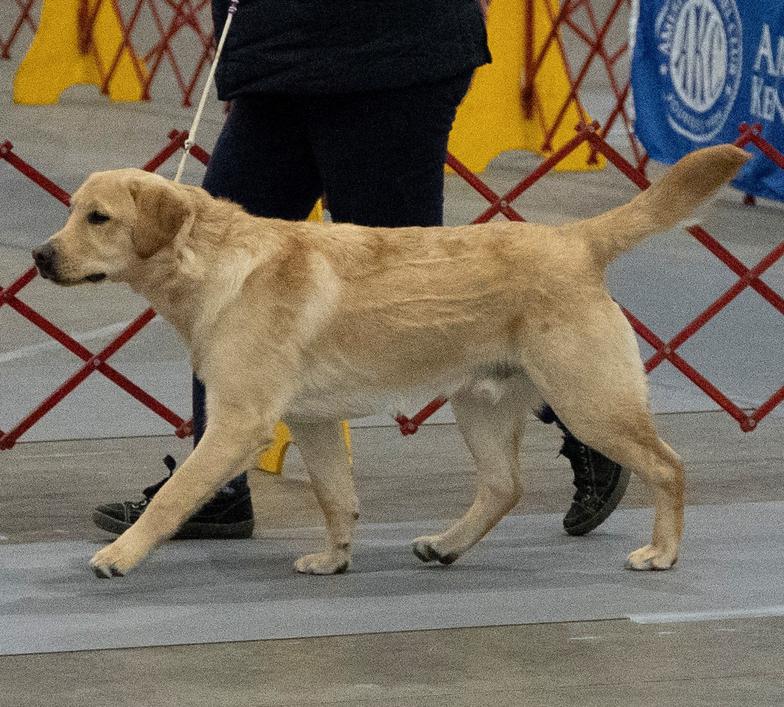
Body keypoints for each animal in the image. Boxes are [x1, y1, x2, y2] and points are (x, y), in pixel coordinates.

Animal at [33, 145, 752, 580]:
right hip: (481, 405)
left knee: (668, 464)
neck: (212, 262)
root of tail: (574, 239)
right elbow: (336, 497)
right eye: (68, 212)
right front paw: (334, 559)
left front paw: (120, 554)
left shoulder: (239, 422)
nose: (40, 256)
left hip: (589, 399)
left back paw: (663, 550)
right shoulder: (313, 422)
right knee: (504, 487)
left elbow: (175, 495)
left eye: (98, 218)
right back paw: (447, 544)